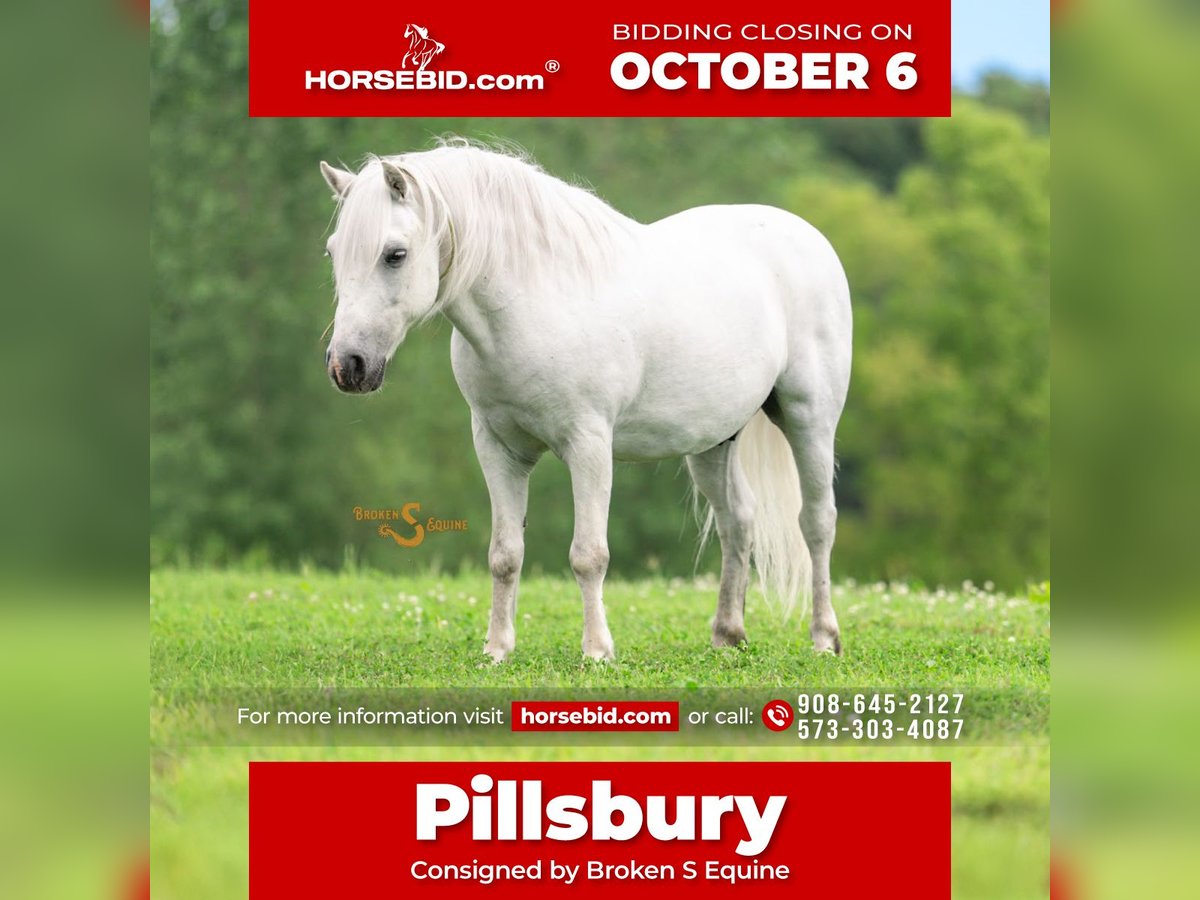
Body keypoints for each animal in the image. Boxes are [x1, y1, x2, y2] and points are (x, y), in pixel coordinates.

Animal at [318, 142, 853, 662]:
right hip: (713, 442)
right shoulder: (497, 447)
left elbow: (589, 555)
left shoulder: (589, 445)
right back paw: (728, 634)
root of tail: (808, 236)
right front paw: (497, 649)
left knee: (817, 522)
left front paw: (597, 650)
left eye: (395, 254)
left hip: (809, 418)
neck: (532, 304)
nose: (348, 366)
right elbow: (505, 554)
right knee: (737, 520)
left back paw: (825, 637)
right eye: (333, 252)